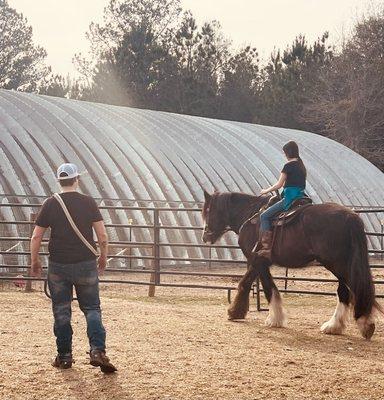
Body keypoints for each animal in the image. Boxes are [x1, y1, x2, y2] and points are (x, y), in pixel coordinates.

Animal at [201, 190, 380, 338]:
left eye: (208, 211)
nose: (205, 237)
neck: (250, 217)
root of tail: (351, 216)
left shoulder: (257, 260)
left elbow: (258, 285)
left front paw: (260, 316)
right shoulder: (261, 261)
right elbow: (259, 284)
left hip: (338, 264)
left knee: (353, 289)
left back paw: (364, 324)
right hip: (340, 265)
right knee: (345, 291)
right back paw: (334, 326)